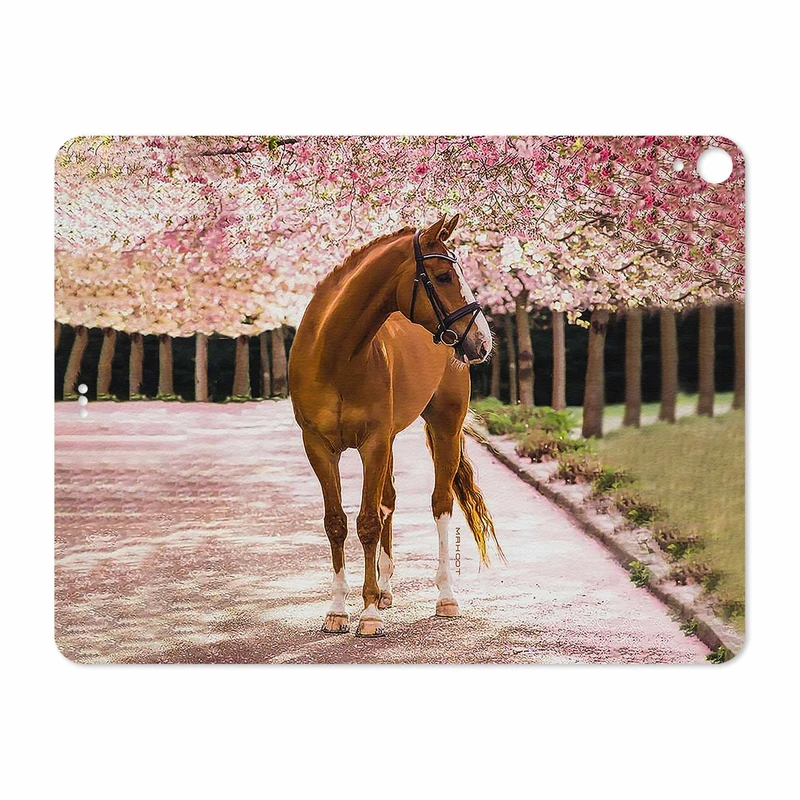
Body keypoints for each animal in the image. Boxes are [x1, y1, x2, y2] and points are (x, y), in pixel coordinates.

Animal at [289, 214, 503, 637]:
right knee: (388, 500)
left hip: (444, 426)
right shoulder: (319, 447)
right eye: (442, 276)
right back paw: (386, 589)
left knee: (440, 504)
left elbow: (368, 522)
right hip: (388, 441)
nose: (483, 341)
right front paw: (338, 610)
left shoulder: (372, 443)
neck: (335, 355)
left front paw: (368, 613)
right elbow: (336, 523)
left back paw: (444, 597)